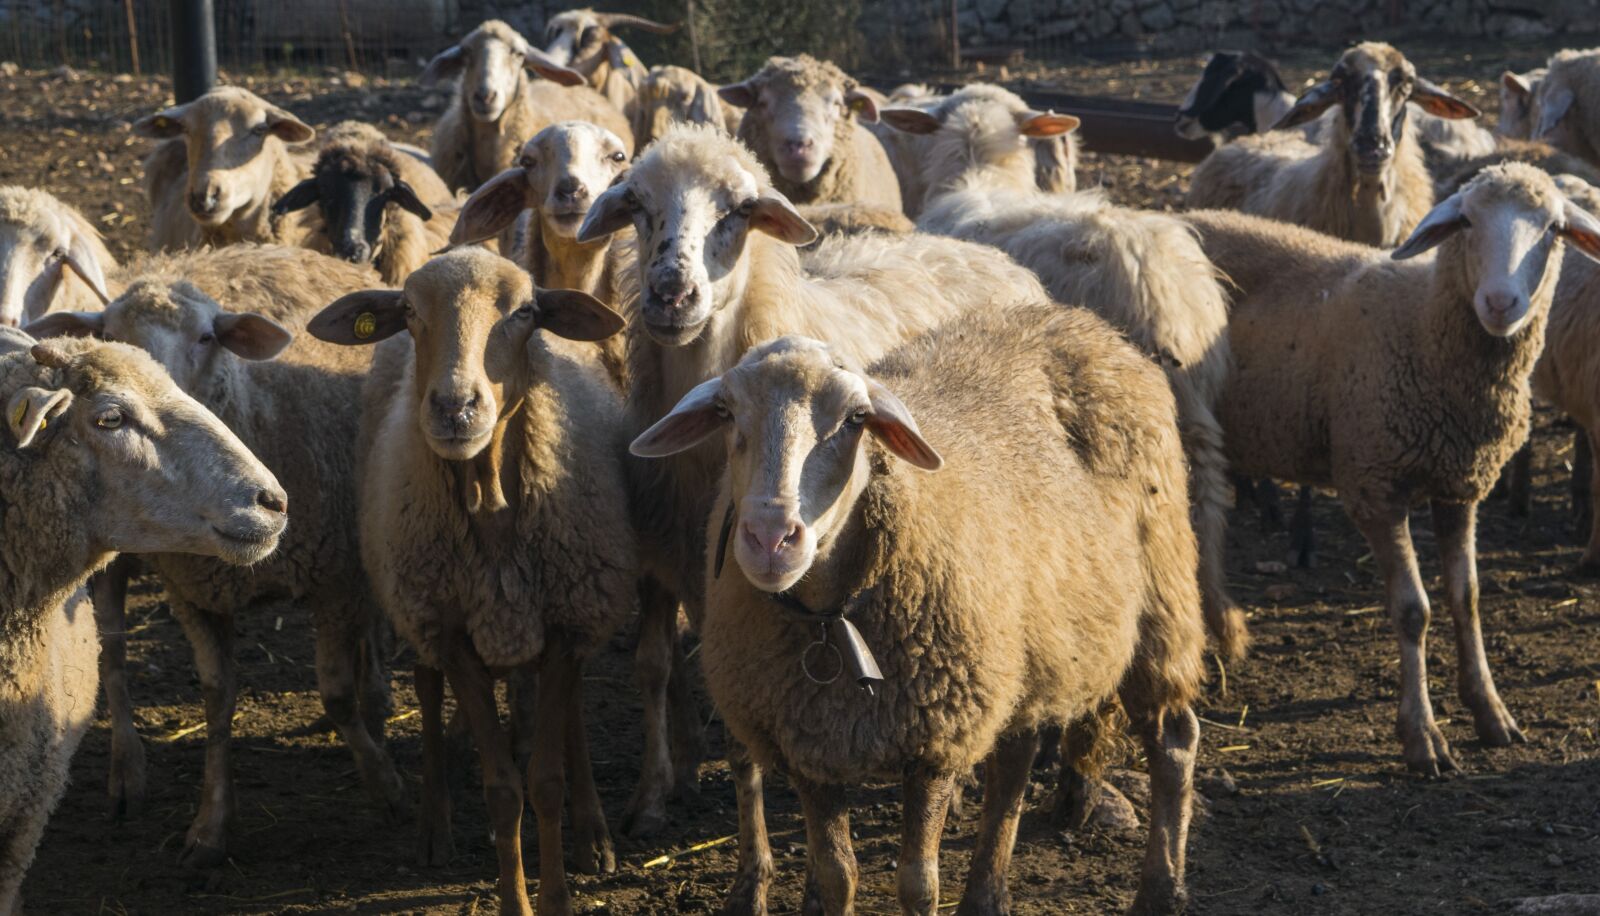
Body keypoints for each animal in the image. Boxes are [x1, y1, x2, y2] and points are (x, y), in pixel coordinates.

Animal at [26, 245, 401, 868]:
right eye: (107, 334)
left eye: (207, 337)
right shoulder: (195, 594)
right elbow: (218, 702)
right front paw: (210, 825)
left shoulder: (336, 578)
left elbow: (336, 693)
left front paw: (383, 784)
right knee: (114, 657)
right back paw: (126, 773)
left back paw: (377, 697)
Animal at [305, 248, 634, 916]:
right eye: (409, 311)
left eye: (526, 312)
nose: (455, 408)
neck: (492, 503)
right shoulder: (450, 630)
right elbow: (504, 790)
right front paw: (515, 900)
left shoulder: (568, 624)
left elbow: (546, 780)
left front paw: (559, 894)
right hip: (414, 600)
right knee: (427, 688)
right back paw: (434, 824)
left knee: (571, 712)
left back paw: (594, 834)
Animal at [576, 121, 1049, 901]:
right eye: (637, 206)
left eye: (739, 210)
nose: (671, 293)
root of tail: (984, 252)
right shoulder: (694, 575)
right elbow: (669, 676)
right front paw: (672, 813)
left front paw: (764, 874)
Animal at [631, 304, 1206, 915]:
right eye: (725, 411)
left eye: (857, 418)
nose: (769, 538)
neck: (833, 622)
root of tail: (1086, 323)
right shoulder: (808, 746)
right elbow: (836, 876)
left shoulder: (935, 744)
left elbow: (918, 883)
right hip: (1021, 649)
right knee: (1015, 760)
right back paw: (985, 895)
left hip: (1162, 601)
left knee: (1172, 740)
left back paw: (1161, 887)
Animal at [1185, 162, 1600, 776]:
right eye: (1466, 221)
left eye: (1553, 229)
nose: (1501, 302)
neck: (1421, 322)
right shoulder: (1374, 484)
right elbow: (1412, 610)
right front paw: (1422, 736)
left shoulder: (1459, 486)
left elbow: (1467, 598)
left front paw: (1490, 711)